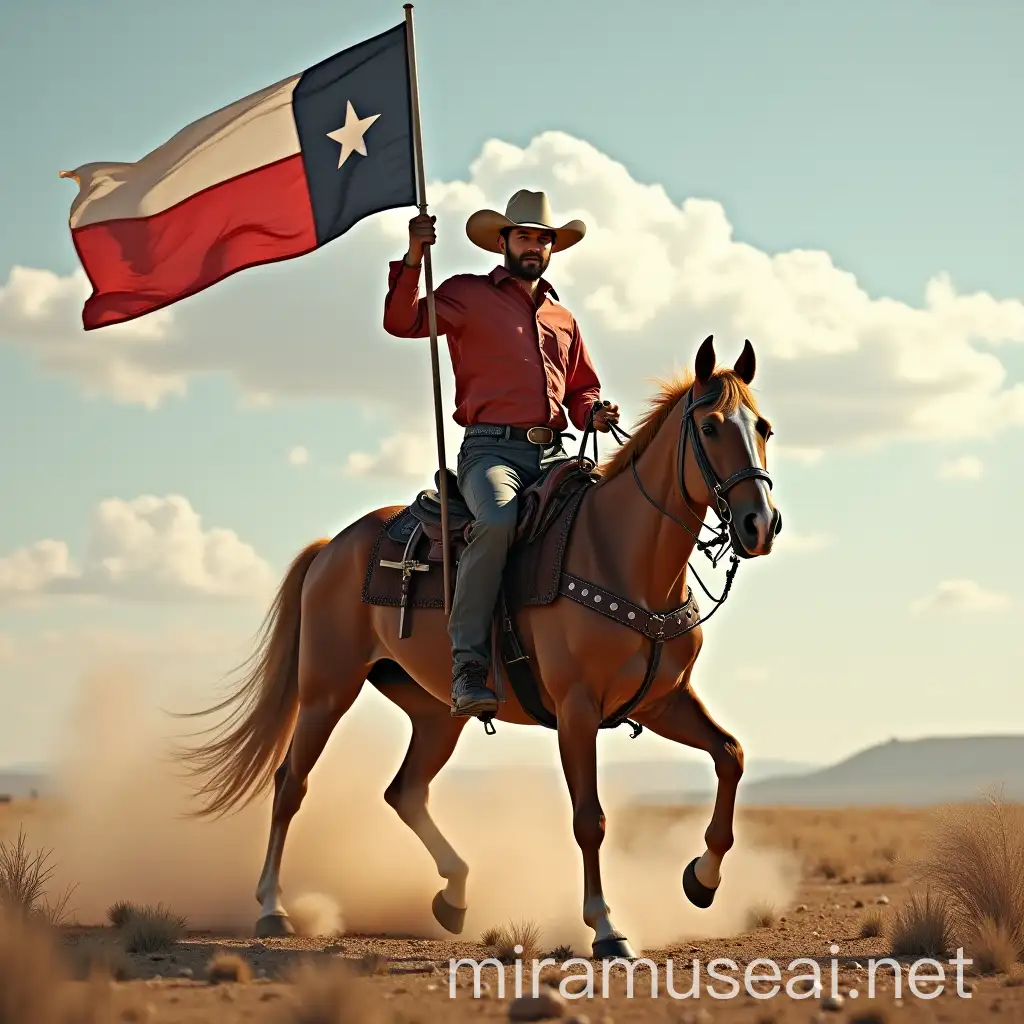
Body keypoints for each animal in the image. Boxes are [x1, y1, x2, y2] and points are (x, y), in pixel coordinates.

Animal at [178, 335, 782, 958]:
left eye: (763, 427)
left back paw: (455, 895)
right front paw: (606, 927)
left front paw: (701, 880)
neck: (623, 557)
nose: (760, 524)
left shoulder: (664, 701)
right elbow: (589, 818)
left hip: (434, 712)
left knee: (405, 792)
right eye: (710, 427)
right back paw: (272, 909)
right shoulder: (577, 709)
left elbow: (730, 755)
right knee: (290, 785)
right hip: (327, 691)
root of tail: (332, 546)